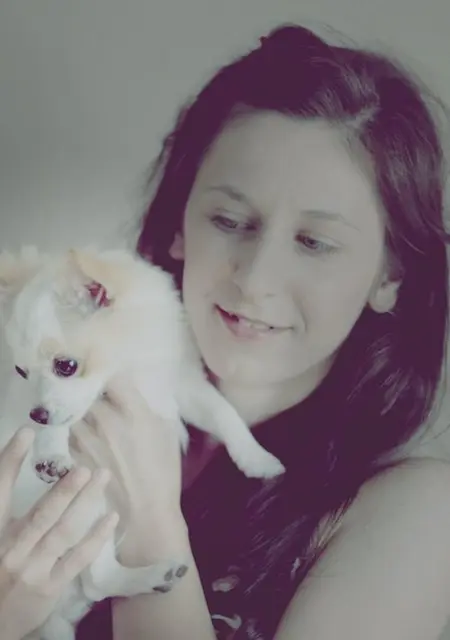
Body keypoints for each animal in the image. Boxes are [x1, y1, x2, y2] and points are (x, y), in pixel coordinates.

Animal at [0, 246, 285, 640]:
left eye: (66, 366)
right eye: (20, 372)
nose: (37, 414)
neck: (131, 365)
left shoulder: (181, 384)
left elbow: (224, 412)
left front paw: (257, 459)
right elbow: (61, 422)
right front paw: (51, 453)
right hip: (88, 507)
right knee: (98, 581)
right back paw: (152, 575)